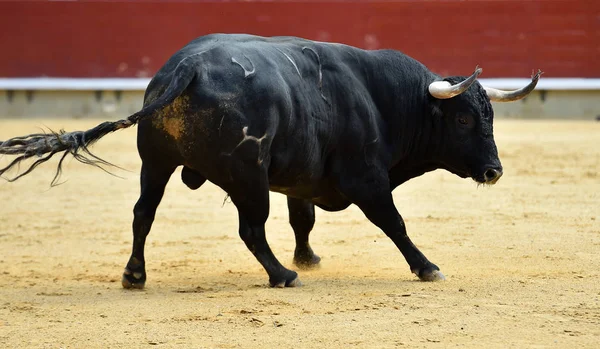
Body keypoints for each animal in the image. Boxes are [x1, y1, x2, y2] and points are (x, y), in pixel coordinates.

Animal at [0, 34, 544, 286]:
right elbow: (394, 222)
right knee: (250, 228)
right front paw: (427, 267)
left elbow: (302, 219)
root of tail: (185, 68)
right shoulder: (365, 179)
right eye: (463, 120)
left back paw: (135, 275)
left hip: (154, 163)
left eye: (489, 116)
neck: (382, 97)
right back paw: (282, 275)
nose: (494, 171)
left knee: (143, 214)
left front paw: (309, 256)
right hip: (247, 176)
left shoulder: (301, 180)